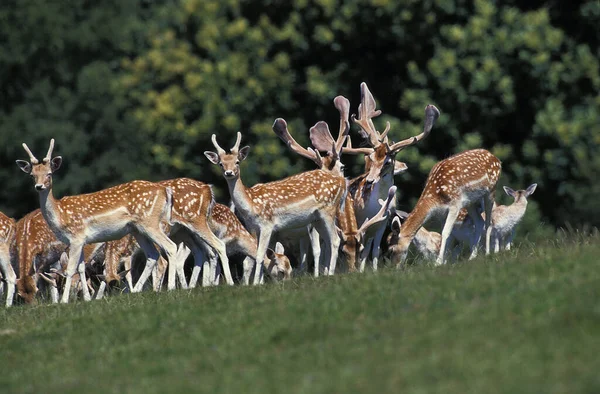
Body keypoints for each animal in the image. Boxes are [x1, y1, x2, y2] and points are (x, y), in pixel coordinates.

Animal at [16, 139, 188, 302]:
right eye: (32, 175)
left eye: (50, 173)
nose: (39, 186)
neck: (60, 214)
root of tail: (165, 191)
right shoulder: (81, 241)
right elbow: (81, 268)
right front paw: (86, 298)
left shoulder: (76, 237)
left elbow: (71, 270)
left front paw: (64, 301)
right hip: (138, 229)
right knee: (152, 255)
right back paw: (138, 290)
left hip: (150, 223)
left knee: (170, 247)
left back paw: (171, 287)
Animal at [206, 132, 346, 284]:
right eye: (221, 164)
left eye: (237, 161)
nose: (229, 172)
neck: (251, 204)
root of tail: (341, 181)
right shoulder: (253, 227)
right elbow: (256, 257)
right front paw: (257, 283)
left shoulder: (267, 224)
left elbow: (260, 255)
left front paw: (256, 283)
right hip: (317, 219)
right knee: (329, 241)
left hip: (328, 210)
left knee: (335, 240)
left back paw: (330, 274)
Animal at [310, 84, 440, 270]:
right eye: (371, 158)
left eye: (387, 161)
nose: (370, 180)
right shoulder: (359, 219)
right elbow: (356, 246)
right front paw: (356, 268)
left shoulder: (382, 222)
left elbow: (374, 250)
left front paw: (371, 269)